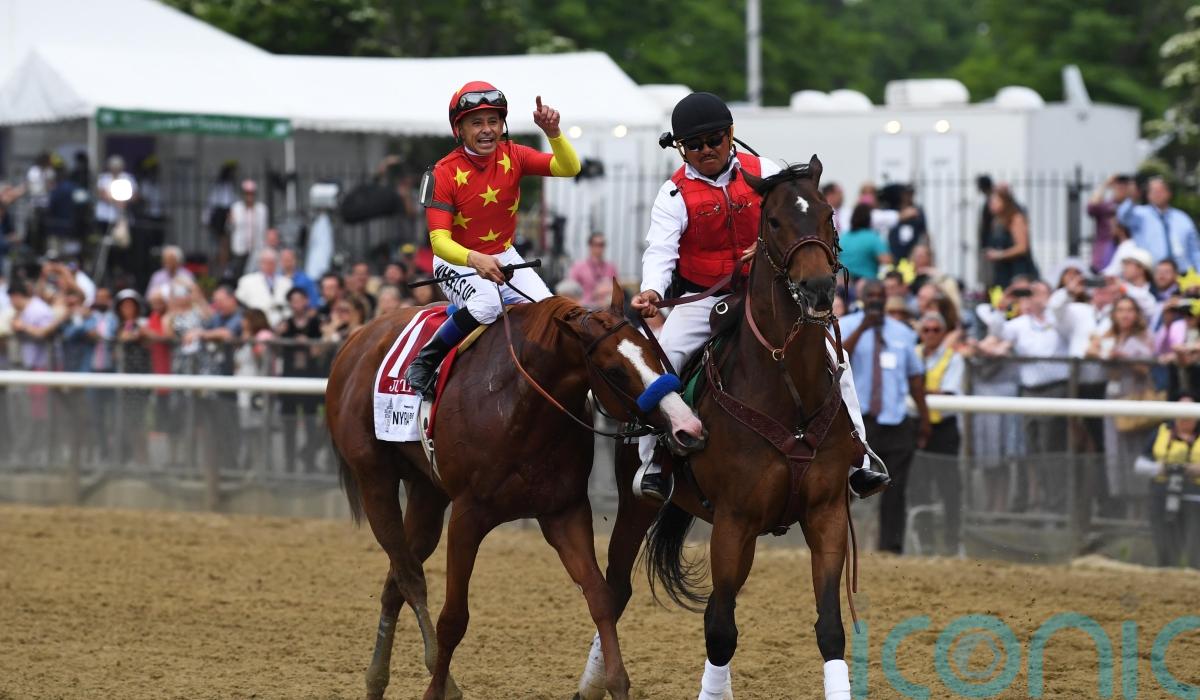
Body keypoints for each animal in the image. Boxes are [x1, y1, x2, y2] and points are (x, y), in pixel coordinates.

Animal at [326, 283, 707, 700]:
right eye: (615, 371)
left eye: (655, 354)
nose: (688, 428)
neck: (518, 404)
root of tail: (357, 338)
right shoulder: (468, 516)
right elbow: (453, 618)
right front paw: (437, 690)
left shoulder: (564, 511)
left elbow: (601, 598)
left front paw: (617, 684)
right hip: (374, 478)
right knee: (410, 576)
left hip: (426, 490)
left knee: (396, 579)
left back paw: (376, 680)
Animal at [573, 155, 862, 700]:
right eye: (774, 221)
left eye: (828, 214)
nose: (818, 289)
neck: (786, 382)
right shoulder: (735, 521)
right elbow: (721, 628)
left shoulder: (827, 513)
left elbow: (831, 629)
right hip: (636, 504)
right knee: (614, 590)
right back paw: (592, 683)